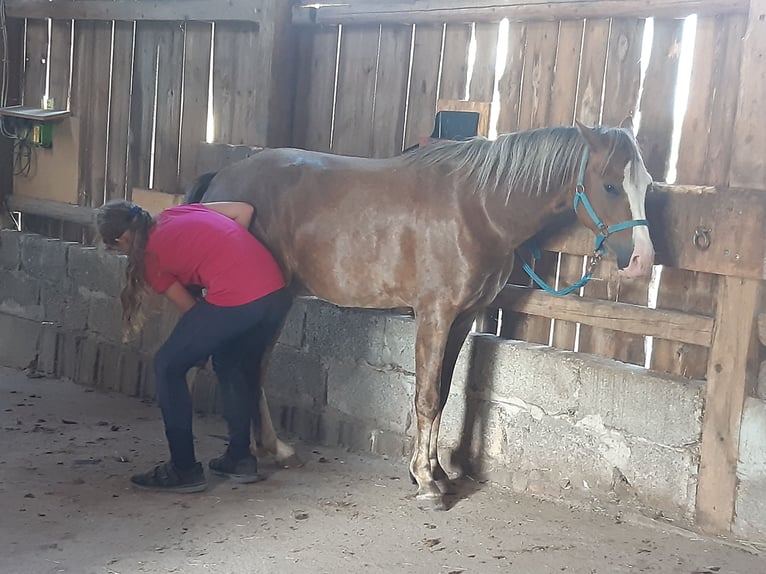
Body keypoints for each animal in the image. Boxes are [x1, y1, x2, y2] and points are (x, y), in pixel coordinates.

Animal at [184, 118, 655, 510]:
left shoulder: (463, 319)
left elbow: (443, 394)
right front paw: (426, 484)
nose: (642, 261)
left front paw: (437, 473)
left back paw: (273, 449)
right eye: (610, 186)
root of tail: (222, 179)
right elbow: (426, 397)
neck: (478, 208)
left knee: (254, 367)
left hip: (275, 302)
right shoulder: (435, 315)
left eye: (646, 183)